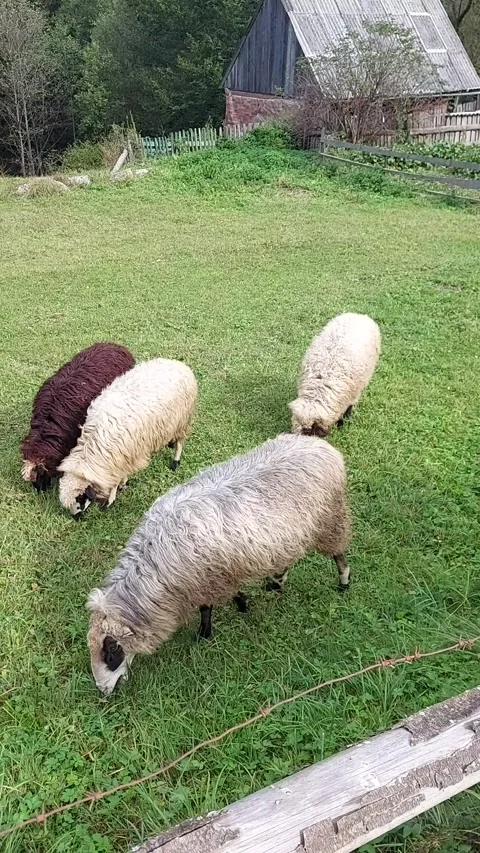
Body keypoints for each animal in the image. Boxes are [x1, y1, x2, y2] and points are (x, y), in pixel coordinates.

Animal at [58, 358, 198, 517]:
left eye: (80, 498)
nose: (77, 518)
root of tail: (178, 364)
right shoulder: (121, 458)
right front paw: (122, 484)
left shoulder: (123, 457)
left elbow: (115, 482)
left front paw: (111, 499)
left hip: (183, 420)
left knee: (180, 442)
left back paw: (175, 461)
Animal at [86, 433, 351, 695]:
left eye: (112, 649)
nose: (103, 691)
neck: (156, 567)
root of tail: (323, 447)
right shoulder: (218, 576)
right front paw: (242, 603)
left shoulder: (208, 580)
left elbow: (206, 608)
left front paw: (205, 633)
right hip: (292, 536)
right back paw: (276, 582)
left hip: (331, 520)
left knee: (339, 555)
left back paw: (344, 582)